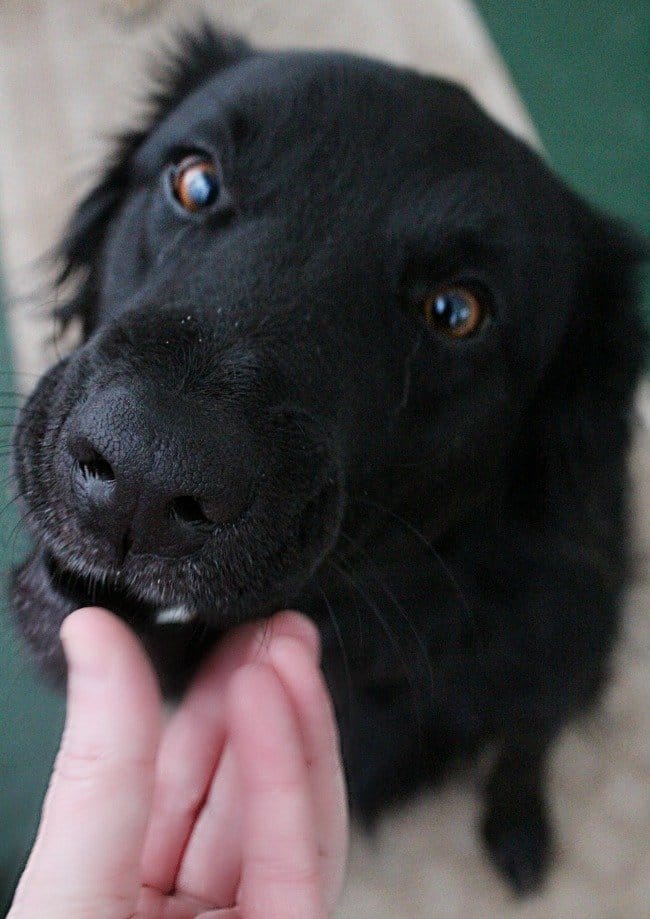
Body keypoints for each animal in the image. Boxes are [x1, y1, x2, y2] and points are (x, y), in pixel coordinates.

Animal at [8, 28, 644, 892]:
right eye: (196, 182)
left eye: (456, 310)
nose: (144, 472)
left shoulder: (551, 651)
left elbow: (526, 741)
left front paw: (518, 822)